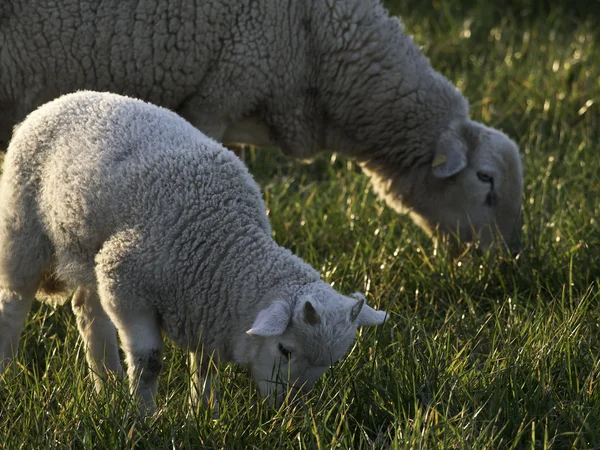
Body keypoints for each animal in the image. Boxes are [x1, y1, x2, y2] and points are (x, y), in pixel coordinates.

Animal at [0, 89, 386, 414]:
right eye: (285, 349)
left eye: (329, 364)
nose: (288, 410)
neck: (222, 248)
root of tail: (61, 100)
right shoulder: (125, 283)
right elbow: (149, 361)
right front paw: (143, 417)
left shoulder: (203, 306)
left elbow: (205, 365)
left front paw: (203, 413)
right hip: (23, 228)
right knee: (14, 302)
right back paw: (8, 371)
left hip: (88, 250)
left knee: (88, 312)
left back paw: (106, 385)